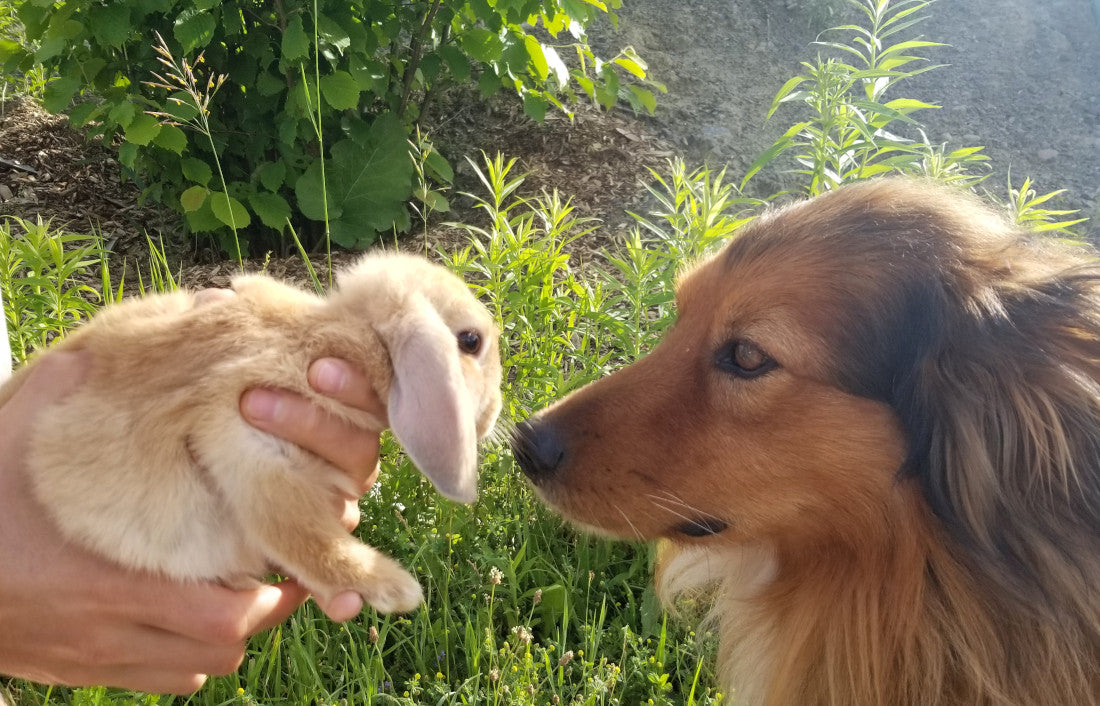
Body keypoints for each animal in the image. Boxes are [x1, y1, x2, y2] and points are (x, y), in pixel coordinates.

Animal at [0, 251, 503, 611]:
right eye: (471, 341)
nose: (496, 414)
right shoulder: (253, 453)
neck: (347, 332)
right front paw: (397, 590)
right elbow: (308, 539)